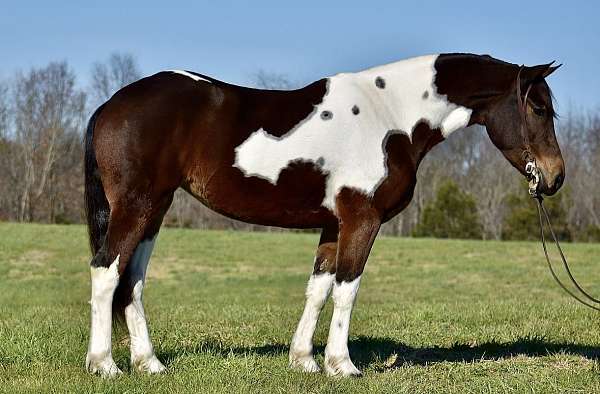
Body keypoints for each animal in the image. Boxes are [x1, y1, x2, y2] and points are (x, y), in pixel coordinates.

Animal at [83, 52, 564, 376]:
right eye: (539, 108)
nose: (555, 177)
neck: (390, 116)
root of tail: (110, 105)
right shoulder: (361, 221)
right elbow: (346, 290)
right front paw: (342, 365)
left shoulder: (333, 225)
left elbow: (318, 289)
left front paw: (304, 361)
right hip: (138, 205)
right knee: (106, 272)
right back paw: (104, 364)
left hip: (155, 209)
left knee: (132, 280)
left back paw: (149, 363)